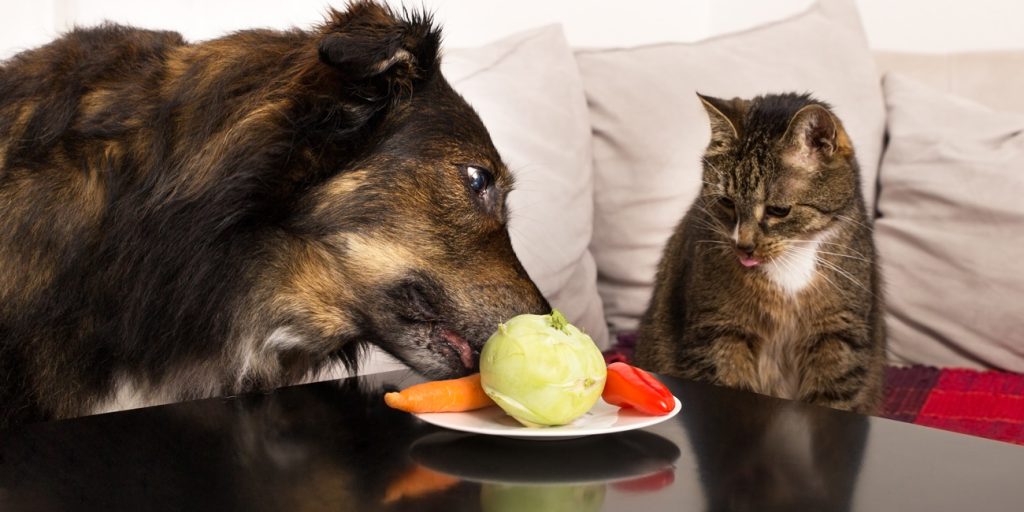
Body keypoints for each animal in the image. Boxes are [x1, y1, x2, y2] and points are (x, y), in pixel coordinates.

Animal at [634, 92, 884, 413]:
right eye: (727, 202)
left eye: (779, 210)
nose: (743, 245)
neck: (791, 262)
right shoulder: (719, 332)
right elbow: (729, 383)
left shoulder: (838, 334)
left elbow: (833, 395)